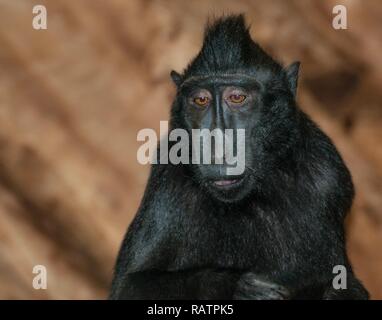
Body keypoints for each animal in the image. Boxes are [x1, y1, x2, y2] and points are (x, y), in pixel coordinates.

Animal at [109, 15, 368, 300]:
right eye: (200, 100)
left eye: (237, 97)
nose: (215, 146)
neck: (254, 194)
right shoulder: (168, 179)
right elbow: (130, 286)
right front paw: (240, 288)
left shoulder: (329, 179)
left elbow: (341, 283)